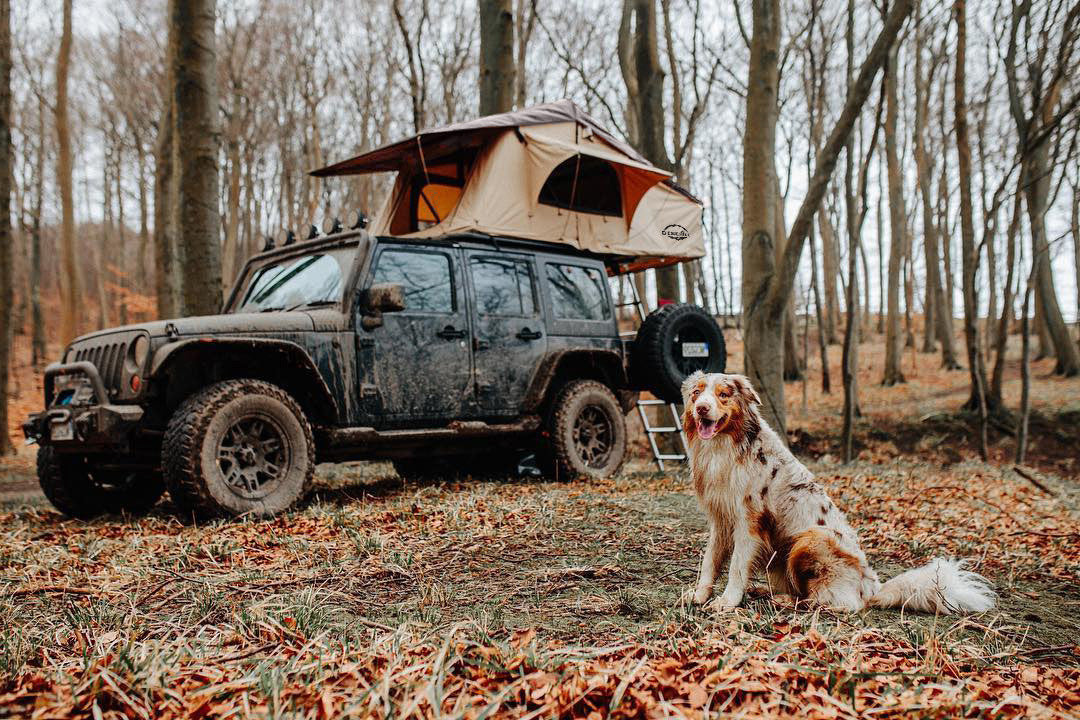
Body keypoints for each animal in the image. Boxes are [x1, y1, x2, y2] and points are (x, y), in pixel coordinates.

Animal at [682, 371, 993, 613]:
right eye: (697, 393)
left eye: (723, 394)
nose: (702, 408)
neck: (726, 448)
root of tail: (873, 588)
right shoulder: (721, 518)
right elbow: (710, 560)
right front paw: (700, 594)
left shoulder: (750, 522)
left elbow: (736, 566)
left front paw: (727, 602)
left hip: (813, 538)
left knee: (834, 602)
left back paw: (789, 602)